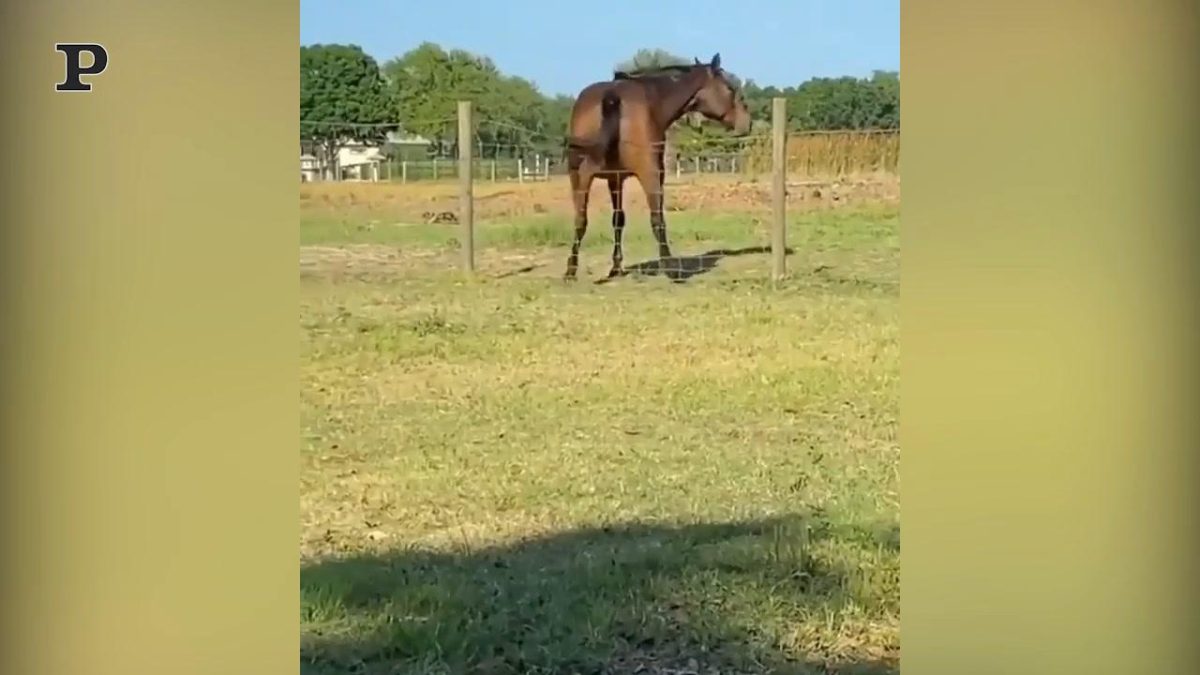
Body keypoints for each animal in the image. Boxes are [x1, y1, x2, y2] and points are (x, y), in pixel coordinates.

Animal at [562, 53, 752, 281]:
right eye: (729, 88)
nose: (747, 123)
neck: (655, 99)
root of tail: (610, 97)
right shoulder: (654, 174)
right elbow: (655, 218)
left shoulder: (615, 178)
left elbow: (618, 219)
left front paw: (616, 266)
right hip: (648, 174)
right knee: (657, 219)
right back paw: (670, 267)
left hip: (579, 175)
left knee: (580, 220)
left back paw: (571, 271)